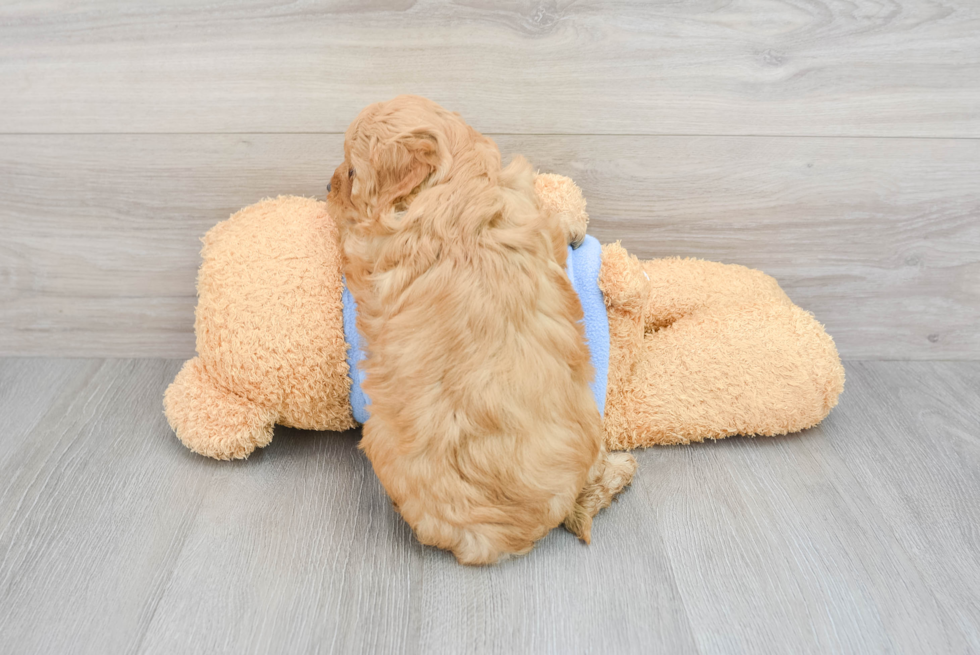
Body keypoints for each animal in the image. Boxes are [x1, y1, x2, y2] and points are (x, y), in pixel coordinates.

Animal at [330, 96, 636, 564]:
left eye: (350, 172)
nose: (327, 187)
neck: (450, 184)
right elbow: (551, 222)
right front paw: (574, 226)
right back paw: (622, 469)